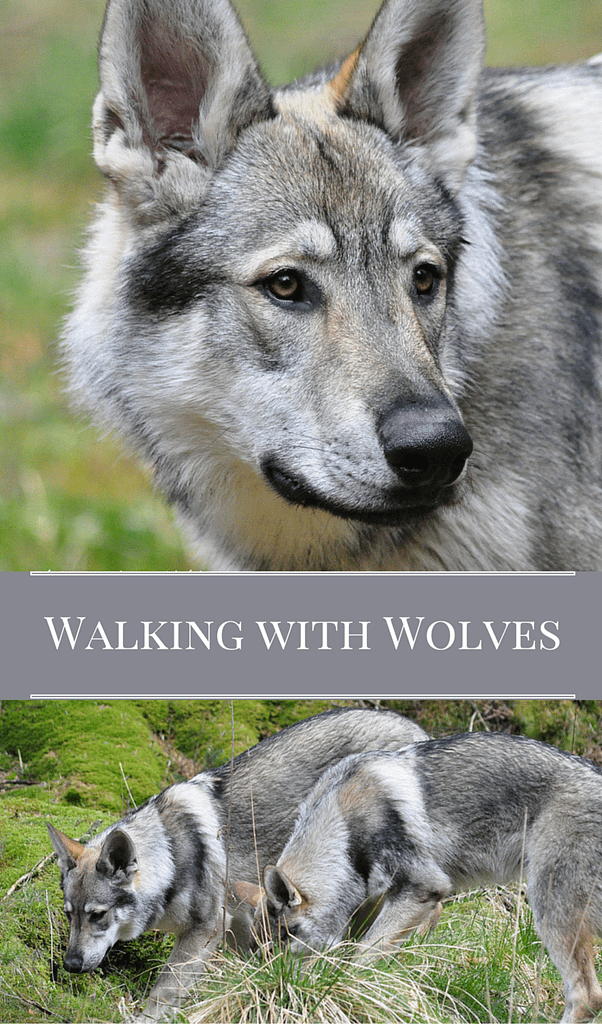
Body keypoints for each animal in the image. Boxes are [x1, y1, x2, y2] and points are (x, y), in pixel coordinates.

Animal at [46, 706, 427, 1020]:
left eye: (97, 915)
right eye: (68, 915)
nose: (70, 964)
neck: (172, 857)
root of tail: (413, 728)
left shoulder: (205, 930)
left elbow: (164, 990)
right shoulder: (240, 920)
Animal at [253, 732, 602, 1023]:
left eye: (283, 939)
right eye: (262, 949)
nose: (269, 981)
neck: (344, 834)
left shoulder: (423, 888)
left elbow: (361, 958)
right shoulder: (380, 905)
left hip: (548, 909)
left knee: (587, 996)